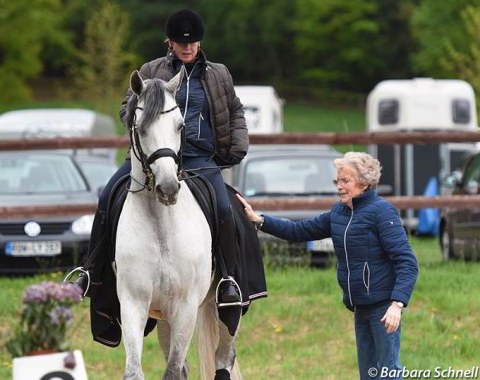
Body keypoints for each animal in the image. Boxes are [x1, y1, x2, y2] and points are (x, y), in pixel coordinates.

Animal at [115, 70, 242, 378]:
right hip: (162, 316)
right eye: (140, 128)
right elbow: (135, 370)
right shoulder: (134, 304)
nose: (168, 188)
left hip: (227, 311)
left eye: (180, 126)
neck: (160, 225)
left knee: (224, 360)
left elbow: (172, 370)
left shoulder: (185, 308)